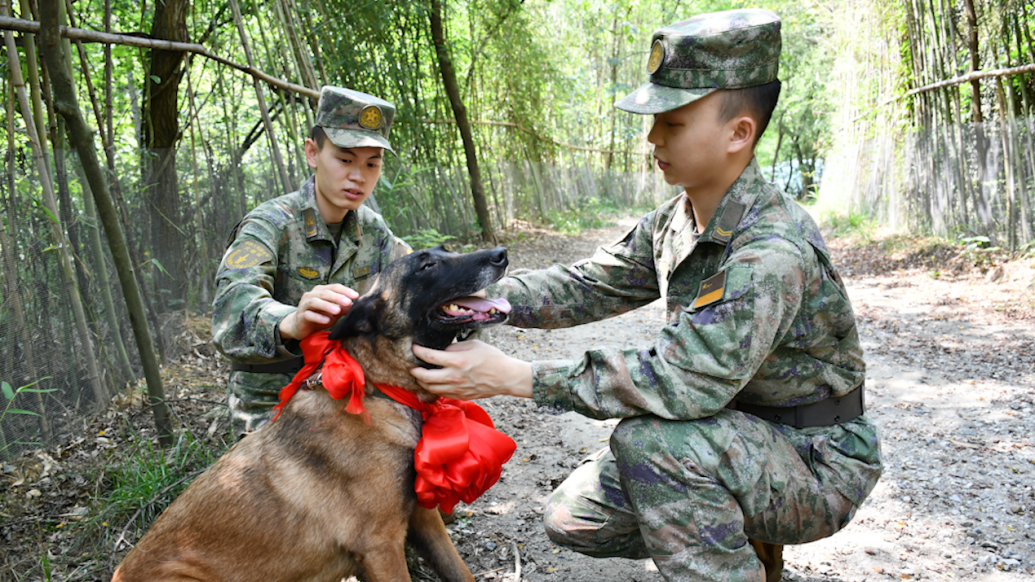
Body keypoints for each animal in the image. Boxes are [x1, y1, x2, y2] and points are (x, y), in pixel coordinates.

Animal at [114, 245, 513, 579]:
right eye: (426, 265)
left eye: (446, 252)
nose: (500, 253)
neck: (380, 390)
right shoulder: (380, 544)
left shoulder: (424, 518)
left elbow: (461, 572)